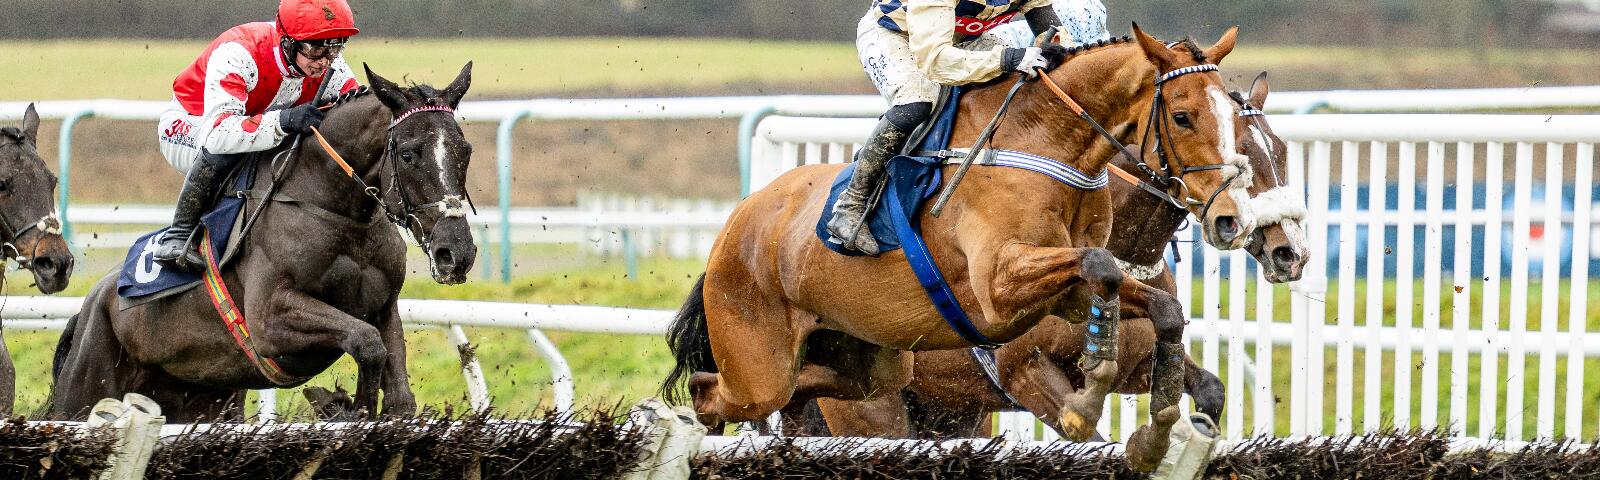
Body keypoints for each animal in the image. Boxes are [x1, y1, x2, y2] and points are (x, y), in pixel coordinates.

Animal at [48, 63, 477, 422]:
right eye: (408, 154)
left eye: (466, 150)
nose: (456, 253)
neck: (330, 207)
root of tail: (92, 302)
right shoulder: (268, 321)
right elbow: (366, 341)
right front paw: (349, 408)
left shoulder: (384, 306)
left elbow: (396, 385)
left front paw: (357, 406)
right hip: (87, 388)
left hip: (201, 399)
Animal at [661, 25, 1252, 471]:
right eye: (1182, 116)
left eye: (1233, 118)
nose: (1231, 219)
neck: (1045, 144)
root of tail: (734, 226)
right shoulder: (1000, 289)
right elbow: (1099, 264)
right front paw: (1086, 400)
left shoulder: (1065, 296)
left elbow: (1160, 306)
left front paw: (1154, 435)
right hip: (760, 366)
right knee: (710, 393)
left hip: (867, 367)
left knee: (769, 391)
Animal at [805, 72, 1310, 441]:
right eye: (1239, 150)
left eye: (1281, 150)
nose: (1291, 251)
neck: (1120, 253)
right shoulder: (1025, 373)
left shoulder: (1137, 365)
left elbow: (1210, 388)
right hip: (874, 410)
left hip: (953, 411)